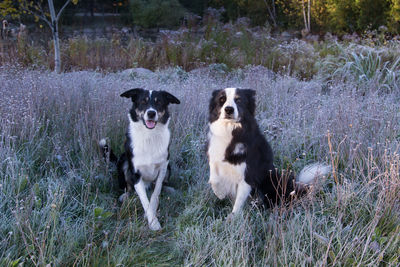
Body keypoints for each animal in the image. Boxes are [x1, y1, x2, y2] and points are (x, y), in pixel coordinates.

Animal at [100, 88, 180, 230]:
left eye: (159, 102)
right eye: (143, 102)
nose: (151, 113)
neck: (149, 136)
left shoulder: (163, 167)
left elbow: (155, 194)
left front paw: (151, 216)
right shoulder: (135, 173)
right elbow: (144, 199)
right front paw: (153, 222)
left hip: (169, 166)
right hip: (124, 161)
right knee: (128, 187)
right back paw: (125, 196)